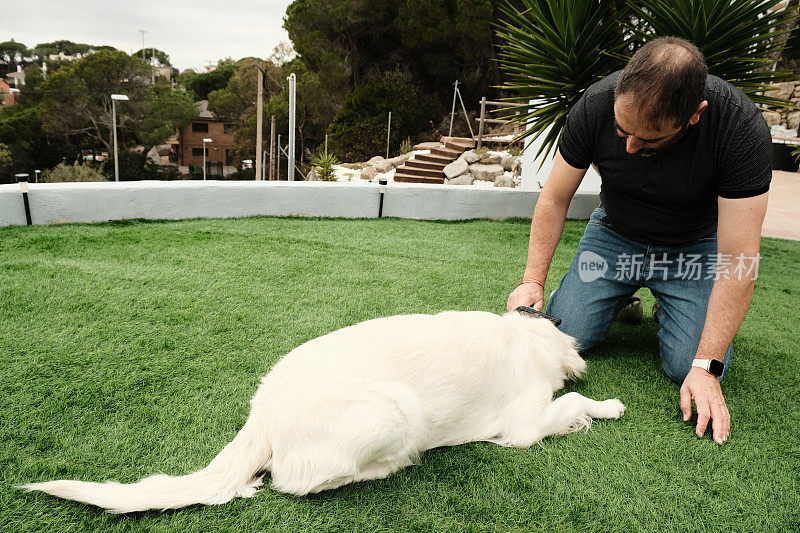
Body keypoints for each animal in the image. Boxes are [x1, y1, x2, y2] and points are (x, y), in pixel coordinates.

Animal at [21, 310, 624, 512]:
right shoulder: (524, 424)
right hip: (397, 411)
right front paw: (608, 405)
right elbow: (572, 401)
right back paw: (389, 466)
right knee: (297, 480)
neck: (524, 335)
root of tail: (262, 414)